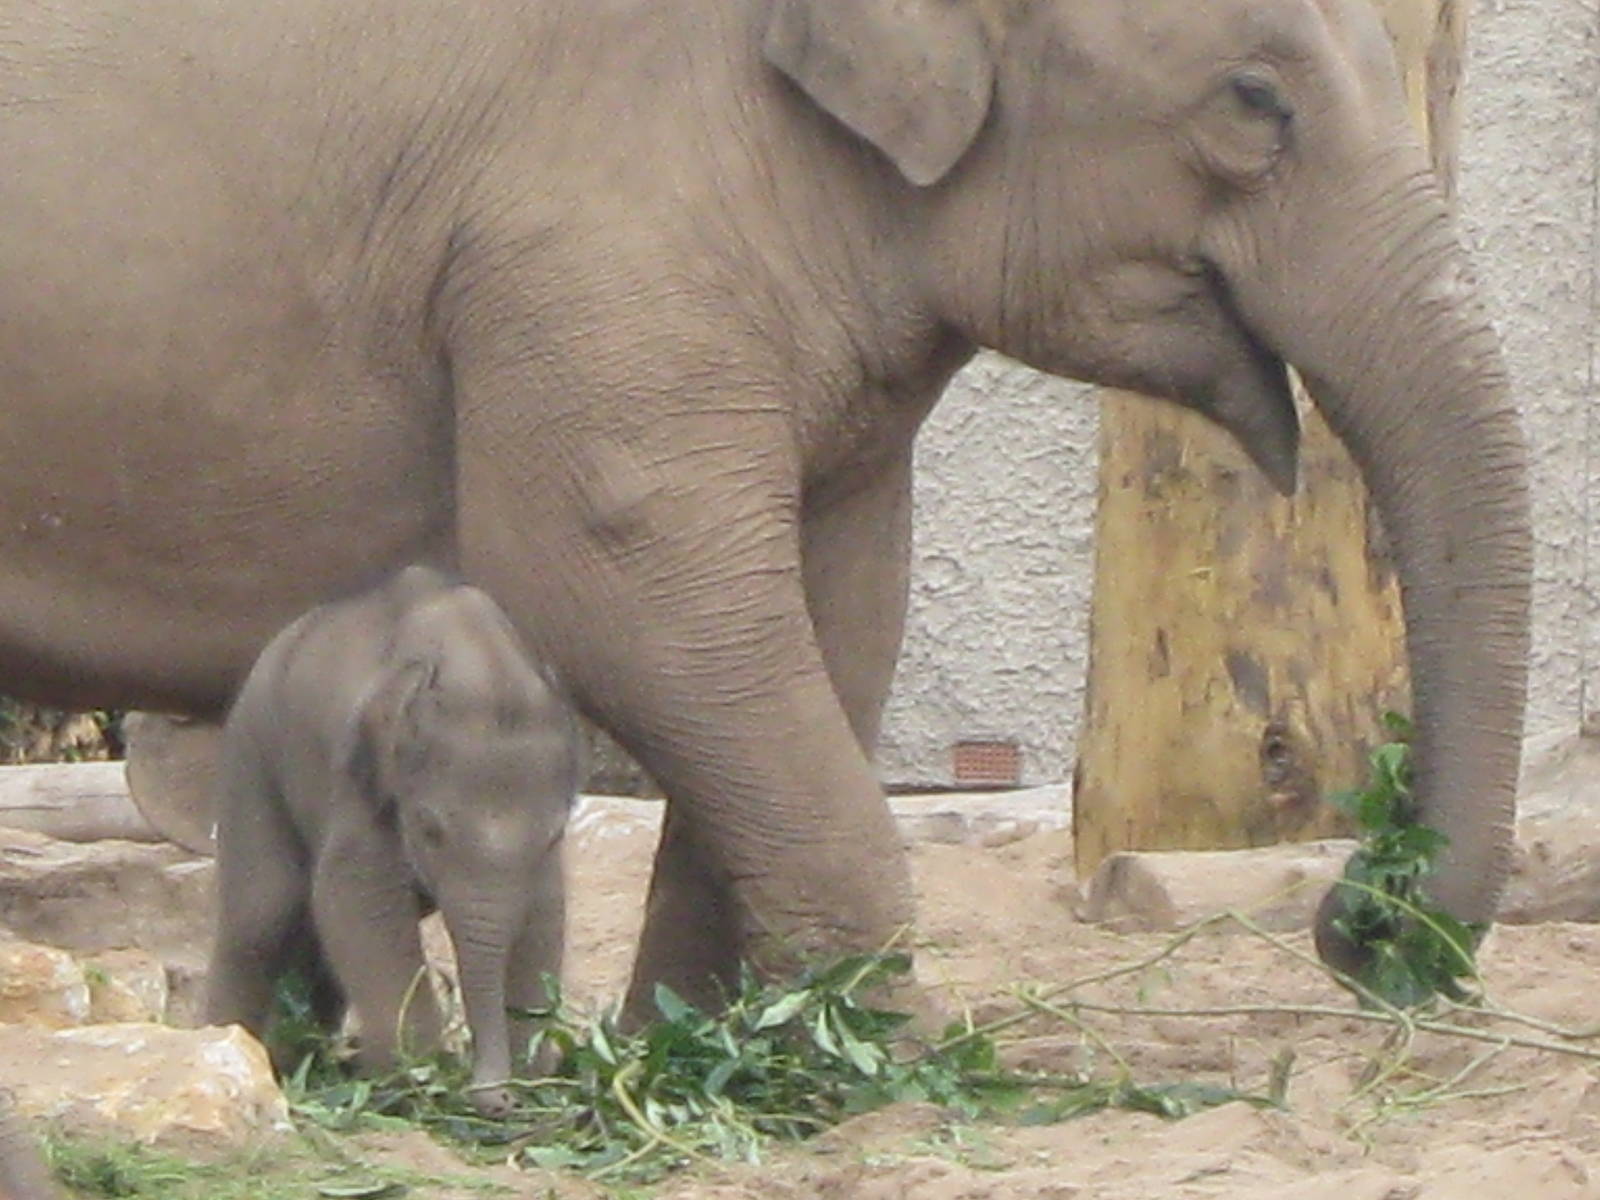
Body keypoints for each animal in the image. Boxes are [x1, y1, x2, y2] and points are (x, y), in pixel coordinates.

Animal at [0, 0, 1530, 1026]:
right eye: (1254, 99)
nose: (1356, 918)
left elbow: (838, 619)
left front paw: (706, 1055)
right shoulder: (589, 248)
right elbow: (630, 598)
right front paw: (901, 1067)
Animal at [203, 565, 579, 1118]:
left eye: (553, 835)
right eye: (428, 829)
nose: (499, 1099)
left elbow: (546, 916)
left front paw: (532, 1078)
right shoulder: (361, 785)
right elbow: (358, 900)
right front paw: (416, 1077)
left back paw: (305, 1060)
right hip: (252, 754)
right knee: (262, 916)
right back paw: (228, 1047)